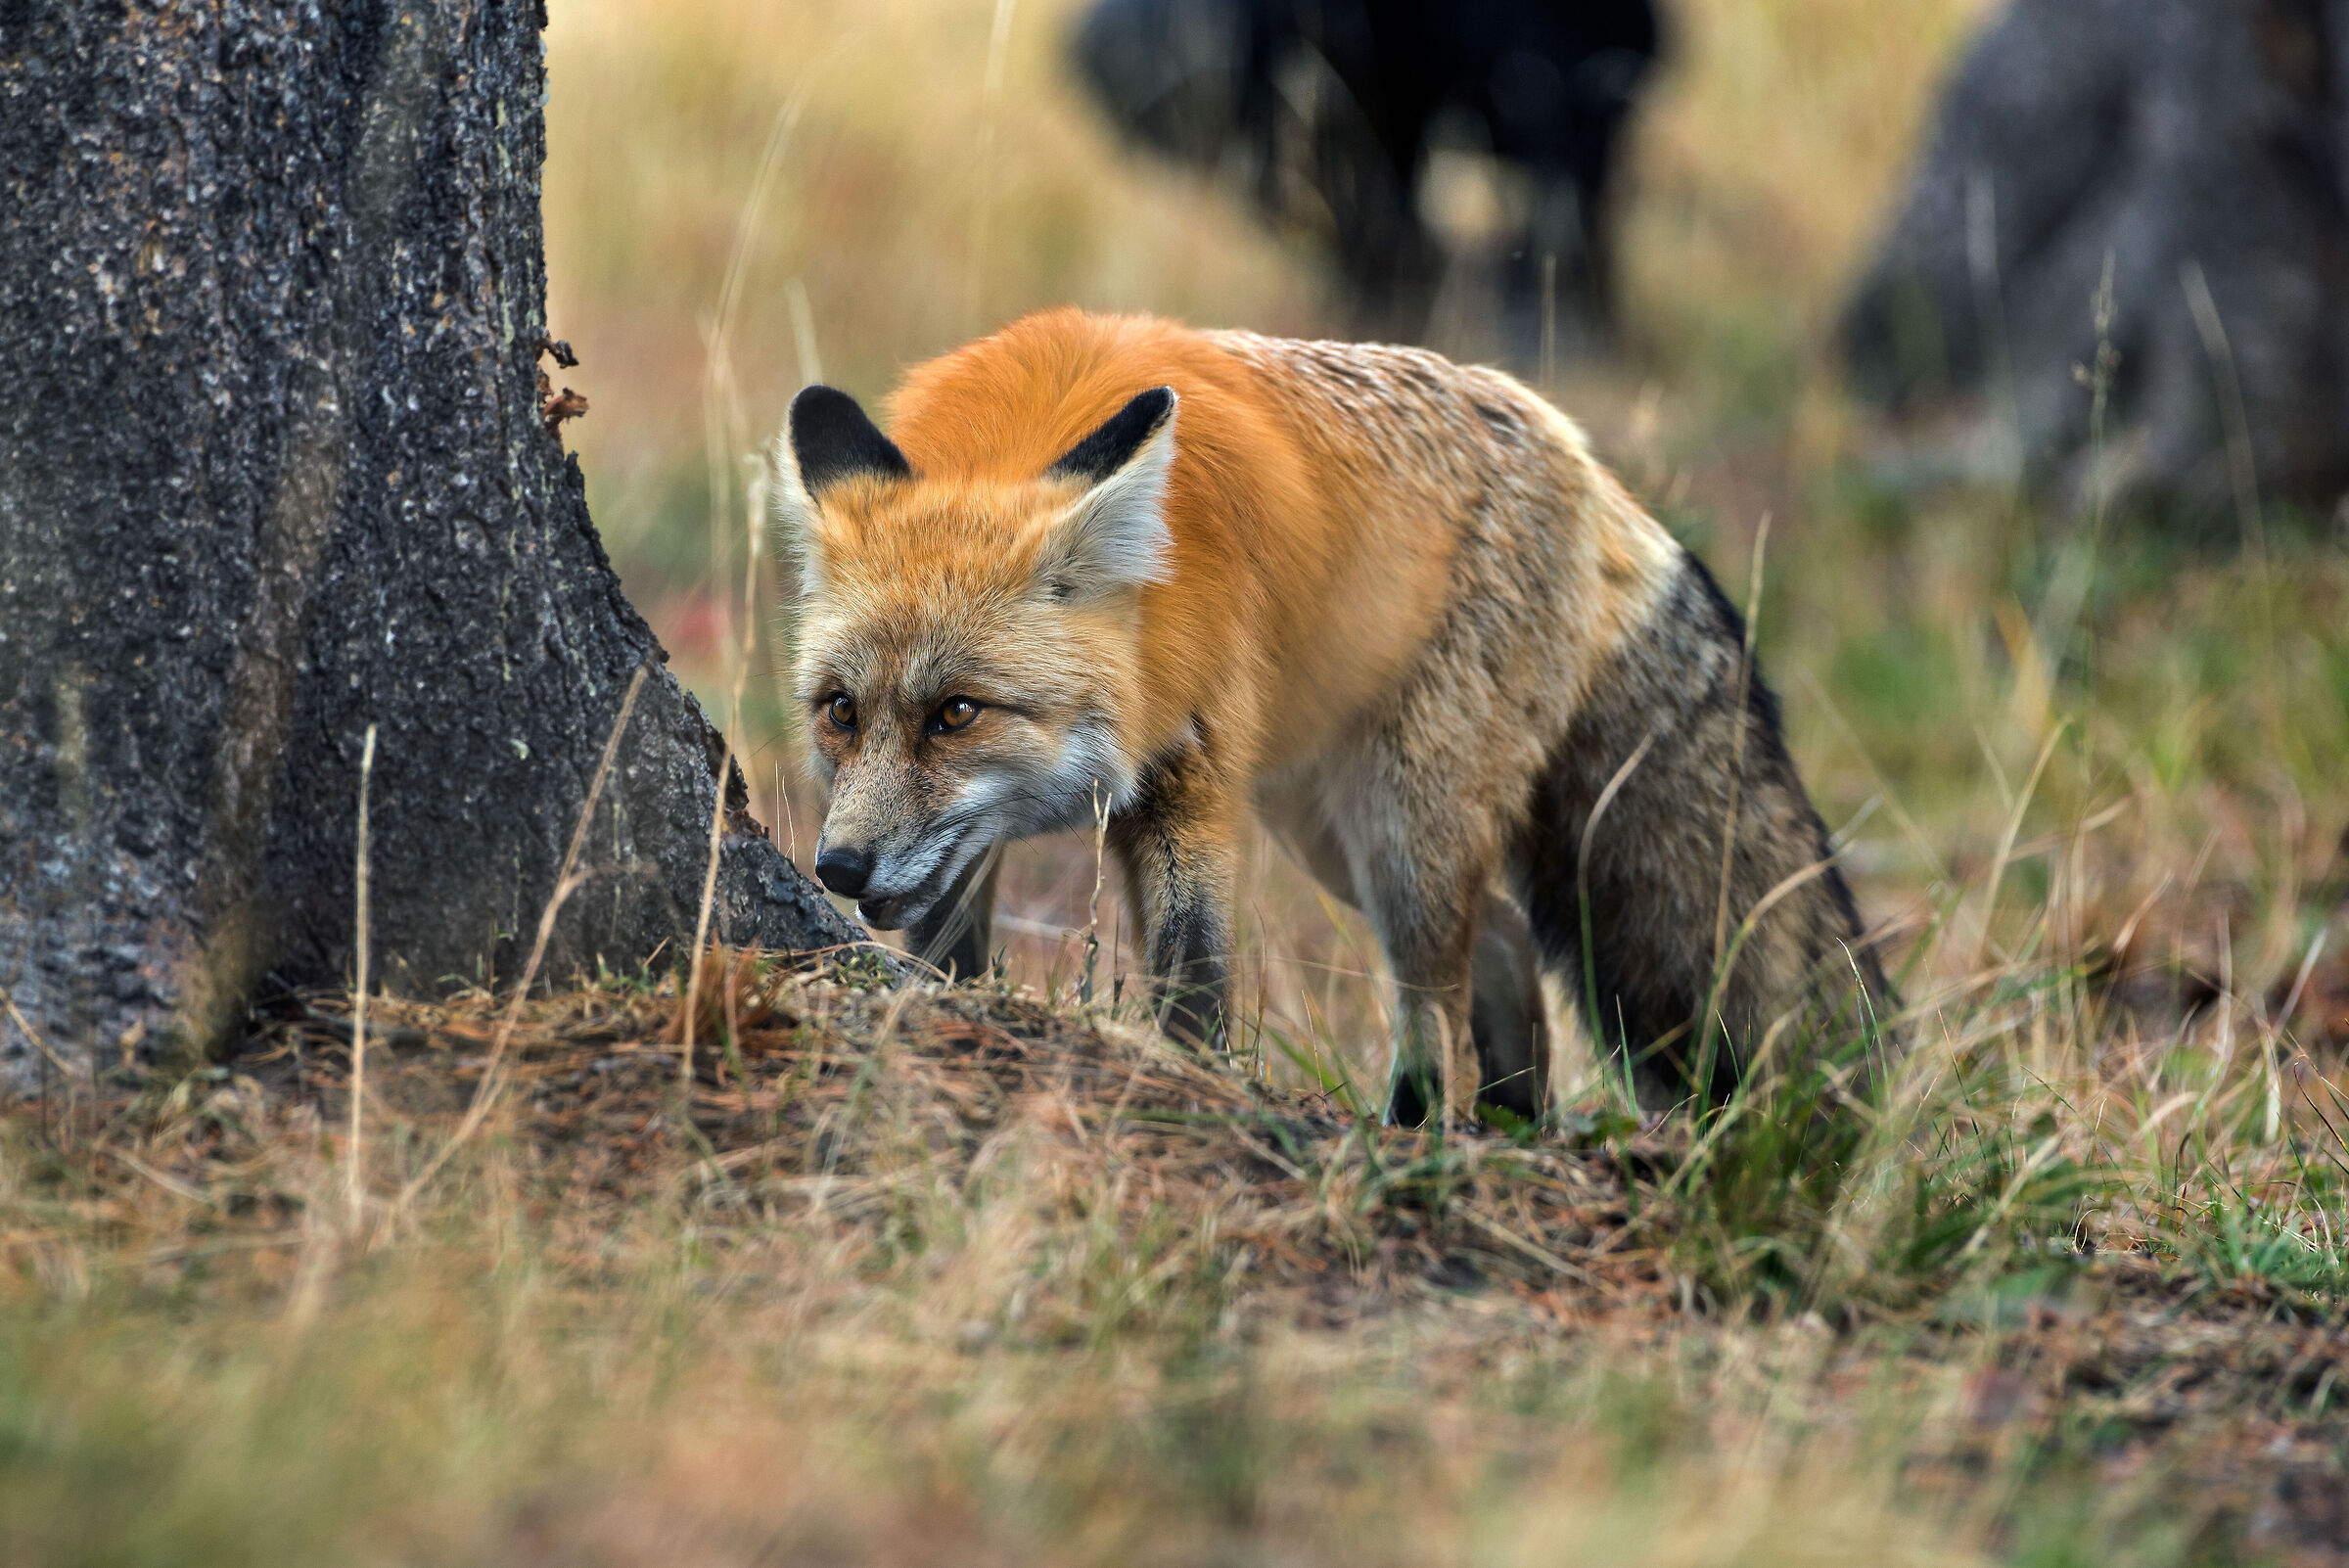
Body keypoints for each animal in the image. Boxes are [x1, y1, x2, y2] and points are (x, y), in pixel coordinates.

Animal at [775, 308, 1891, 1125]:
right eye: (841, 712)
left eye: (956, 712)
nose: (838, 869)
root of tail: (1579, 454)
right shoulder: (974, 843)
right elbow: (949, 951)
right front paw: (946, 1014)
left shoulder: (1193, 781)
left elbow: (1195, 977)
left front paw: (1192, 1087)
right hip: (1331, 831)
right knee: (1503, 942)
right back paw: (1510, 1123)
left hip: (1403, 830)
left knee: (1438, 998)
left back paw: (1430, 1131)